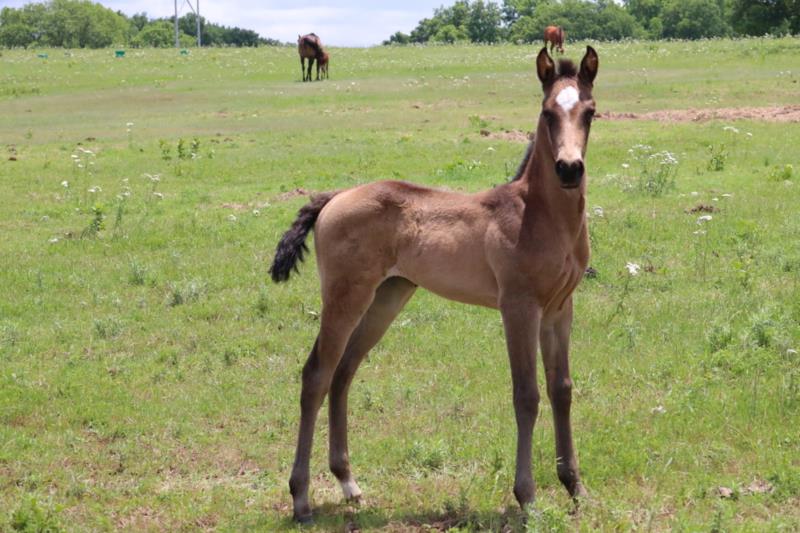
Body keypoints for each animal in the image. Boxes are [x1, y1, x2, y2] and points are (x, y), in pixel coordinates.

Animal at [271, 46, 599, 523]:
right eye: (547, 112)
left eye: (590, 112)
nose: (570, 169)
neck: (538, 216)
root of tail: (334, 197)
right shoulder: (519, 306)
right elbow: (527, 395)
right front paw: (528, 497)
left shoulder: (560, 308)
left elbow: (562, 390)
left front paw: (575, 487)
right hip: (345, 296)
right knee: (317, 373)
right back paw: (301, 499)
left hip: (387, 297)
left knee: (344, 371)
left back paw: (348, 483)